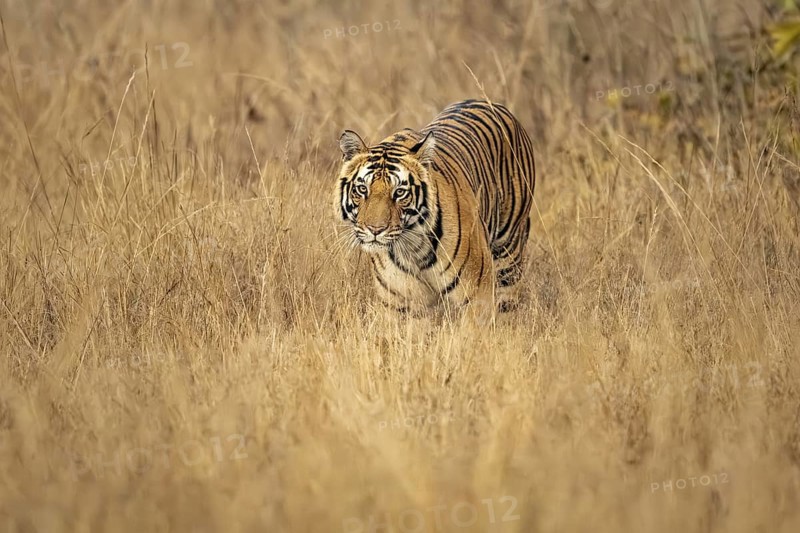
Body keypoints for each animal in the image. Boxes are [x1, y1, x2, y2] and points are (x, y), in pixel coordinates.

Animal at [335, 99, 536, 319]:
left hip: (508, 255)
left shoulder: (478, 295)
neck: (413, 249)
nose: (375, 230)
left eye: (399, 192)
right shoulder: (398, 304)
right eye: (362, 189)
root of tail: (490, 103)